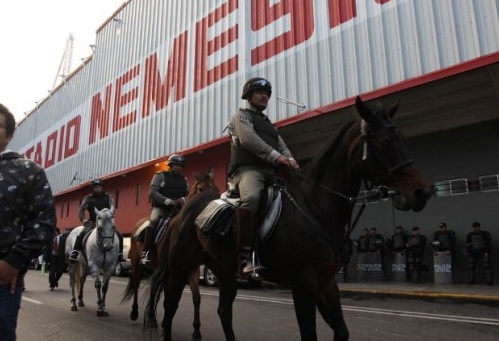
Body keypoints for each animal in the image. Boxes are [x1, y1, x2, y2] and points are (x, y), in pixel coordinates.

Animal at [121, 171, 219, 336]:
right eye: (201, 189)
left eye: (217, 190)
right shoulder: (171, 270)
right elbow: (169, 297)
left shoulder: (191, 269)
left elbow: (196, 298)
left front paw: (196, 330)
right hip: (136, 264)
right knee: (136, 285)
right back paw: (135, 313)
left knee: (153, 289)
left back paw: (153, 319)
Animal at [145, 96, 434, 340]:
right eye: (385, 143)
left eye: (404, 139)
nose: (423, 192)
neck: (314, 206)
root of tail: (184, 211)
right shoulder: (303, 283)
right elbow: (309, 335)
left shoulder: (325, 282)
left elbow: (341, 331)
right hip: (180, 268)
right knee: (170, 307)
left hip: (223, 270)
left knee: (223, 312)